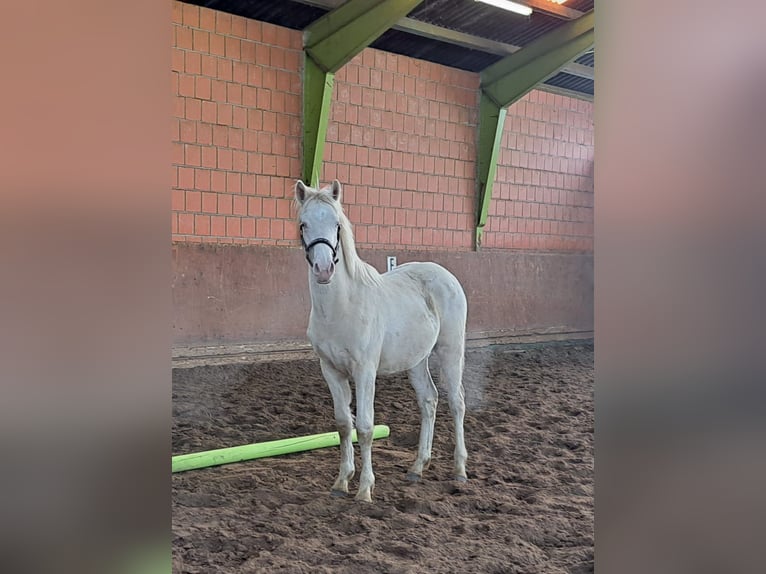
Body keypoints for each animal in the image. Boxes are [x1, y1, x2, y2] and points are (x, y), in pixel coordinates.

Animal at [296, 180, 472, 504]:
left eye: (337, 225)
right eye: (304, 224)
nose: (324, 270)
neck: (342, 307)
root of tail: (445, 275)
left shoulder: (365, 371)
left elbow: (365, 427)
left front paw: (365, 489)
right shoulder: (331, 371)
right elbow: (344, 425)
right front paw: (341, 482)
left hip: (451, 351)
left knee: (457, 402)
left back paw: (460, 470)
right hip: (416, 360)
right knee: (429, 400)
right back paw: (417, 467)